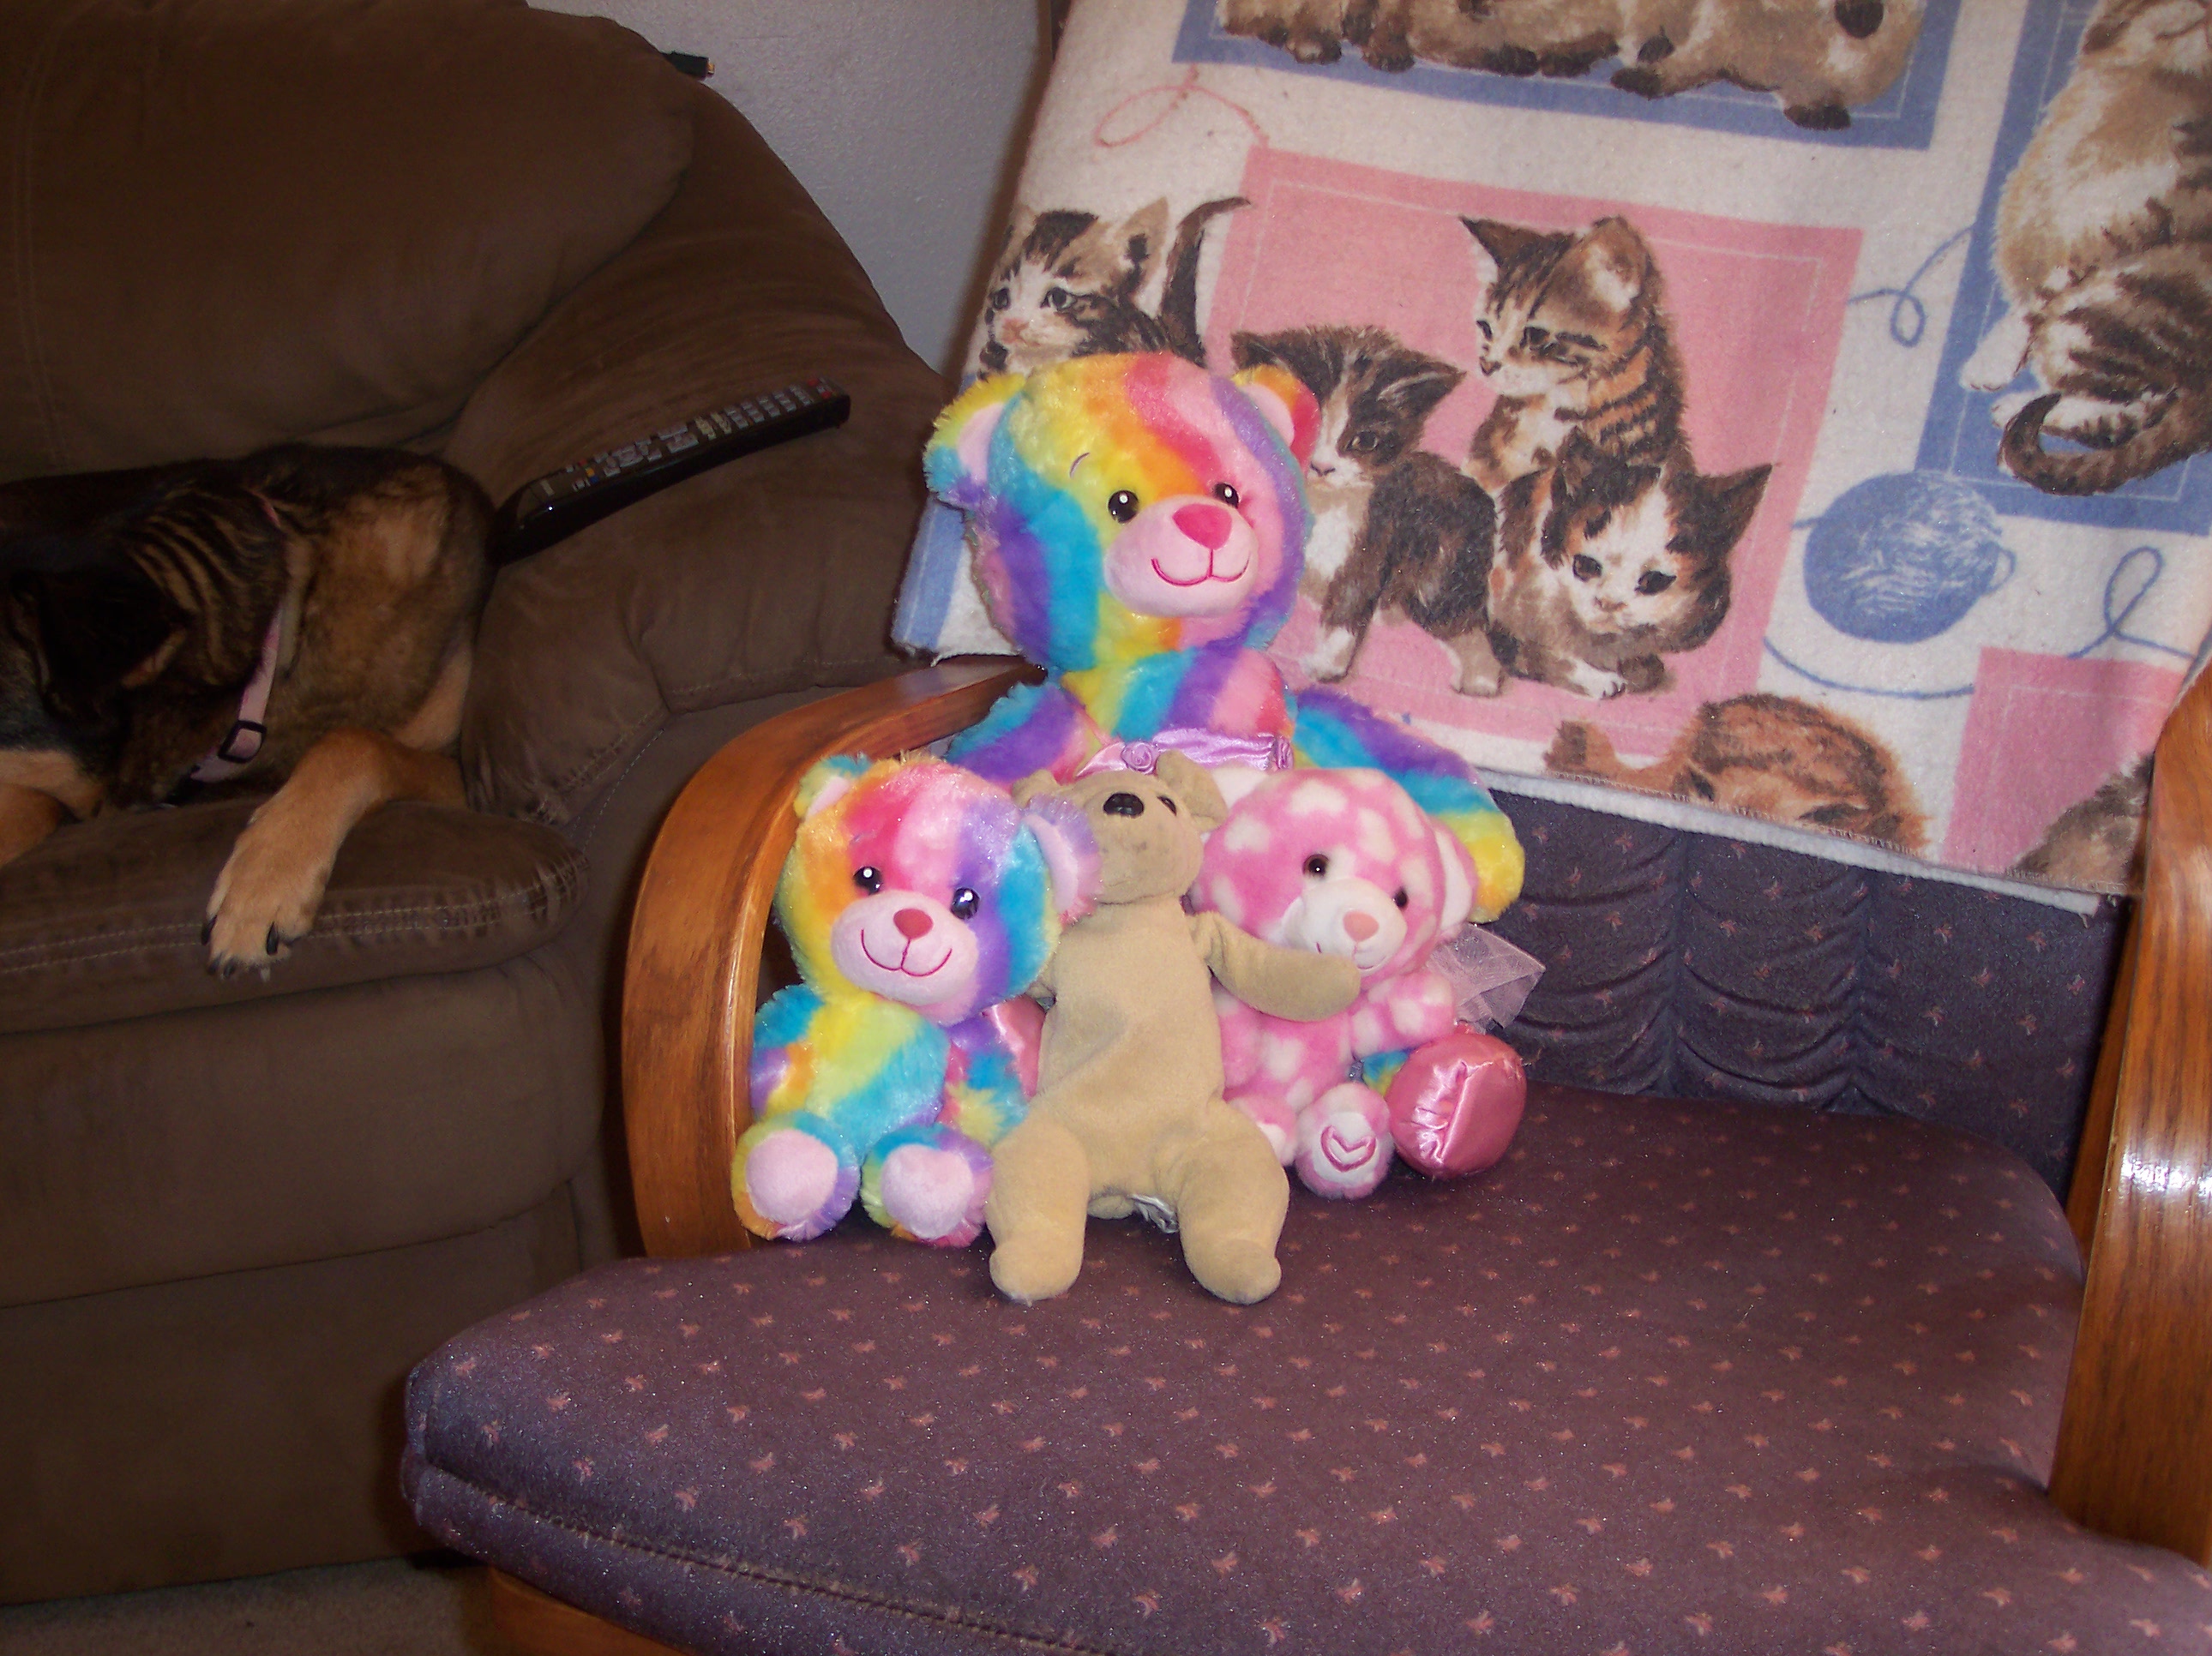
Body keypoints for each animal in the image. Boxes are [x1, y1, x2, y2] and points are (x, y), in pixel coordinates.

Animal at [1482, 431, 1769, 698]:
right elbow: (1536, 653)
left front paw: (1636, 669)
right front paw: (1600, 680)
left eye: (1653, 581)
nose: (1608, 603)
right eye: (1586, 566)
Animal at [1962, 0, 2212, 496]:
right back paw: (2015, 422)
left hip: (2098, 319)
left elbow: (2041, 293)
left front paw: (1991, 360)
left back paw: (2014, 416)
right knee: (2124, 415)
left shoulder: (2137, 222)